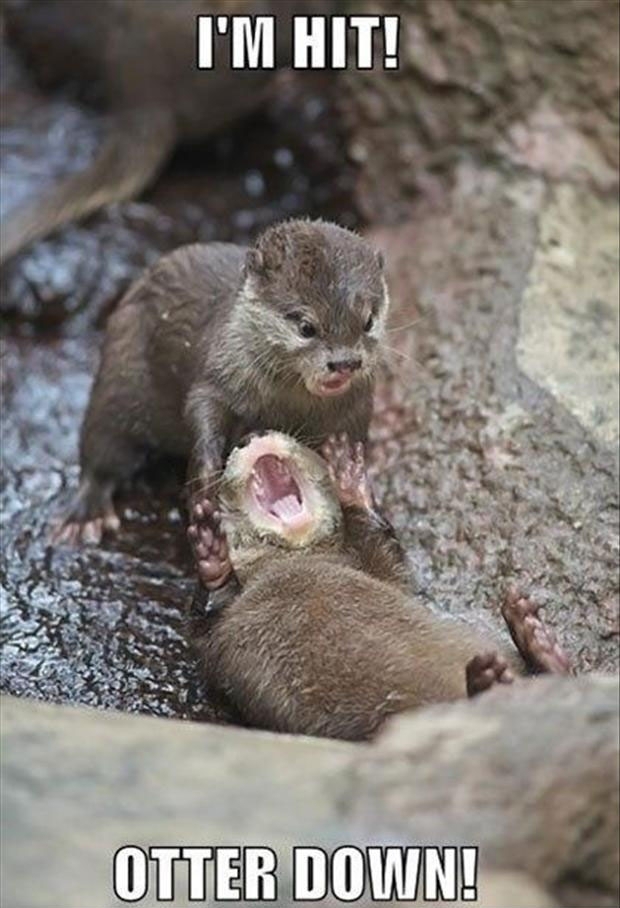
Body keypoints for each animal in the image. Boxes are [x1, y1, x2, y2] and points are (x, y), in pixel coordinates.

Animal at [57, 218, 388, 548]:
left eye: (368, 321)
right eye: (306, 327)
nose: (345, 363)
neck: (286, 408)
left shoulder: (357, 412)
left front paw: (349, 474)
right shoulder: (218, 374)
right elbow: (201, 408)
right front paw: (205, 482)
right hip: (118, 378)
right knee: (101, 446)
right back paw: (86, 516)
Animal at [188, 430, 572, 740]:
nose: (250, 436)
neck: (289, 566)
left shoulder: (384, 572)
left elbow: (386, 552)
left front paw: (351, 482)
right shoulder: (216, 643)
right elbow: (204, 626)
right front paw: (212, 557)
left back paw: (532, 640)